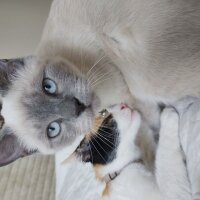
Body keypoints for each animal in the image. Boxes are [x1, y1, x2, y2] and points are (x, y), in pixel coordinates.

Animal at [61, 104, 191, 200]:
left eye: (103, 111)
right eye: (105, 116)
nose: (124, 104)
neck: (118, 171)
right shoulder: (173, 194)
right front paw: (168, 113)